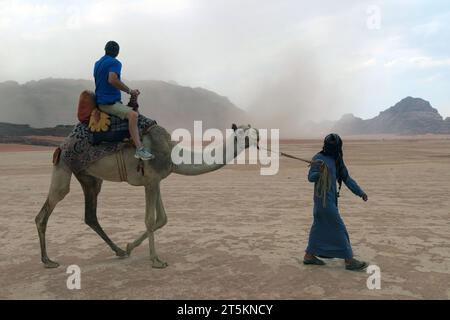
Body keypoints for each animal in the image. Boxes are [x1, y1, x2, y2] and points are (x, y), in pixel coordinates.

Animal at [35, 122, 258, 268]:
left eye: (256, 133)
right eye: (243, 136)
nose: (257, 143)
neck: (172, 153)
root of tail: (61, 145)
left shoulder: (155, 180)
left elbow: (162, 219)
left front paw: (129, 246)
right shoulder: (150, 180)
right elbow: (150, 220)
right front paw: (156, 260)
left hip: (89, 178)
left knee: (90, 215)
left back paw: (119, 251)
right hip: (64, 165)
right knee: (48, 209)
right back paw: (48, 260)